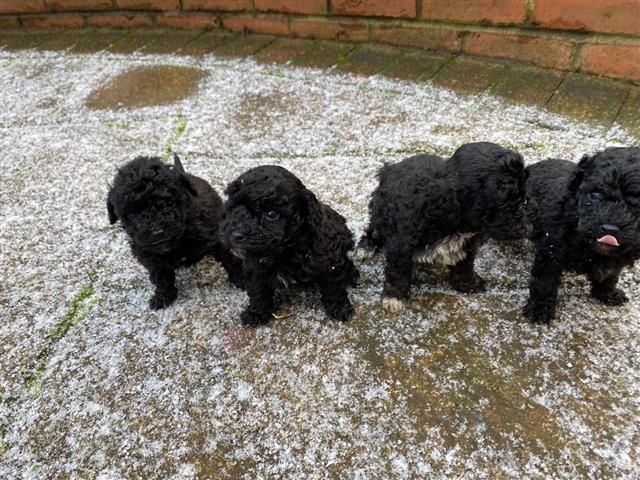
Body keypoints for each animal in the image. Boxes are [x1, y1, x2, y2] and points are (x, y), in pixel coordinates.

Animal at [107, 156, 242, 310]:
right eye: (133, 214)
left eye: (168, 203)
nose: (157, 232)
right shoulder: (148, 253)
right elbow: (161, 276)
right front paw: (163, 296)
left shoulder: (214, 237)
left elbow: (229, 259)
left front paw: (241, 279)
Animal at [220, 165, 360, 326]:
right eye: (235, 207)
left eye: (272, 214)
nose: (236, 234)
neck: (286, 250)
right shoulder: (255, 266)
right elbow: (258, 289)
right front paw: (256, 312)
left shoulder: (327, 259)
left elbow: (334, 287)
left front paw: (340, 308)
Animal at [358, 141, 528, 314]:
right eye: (502, 201)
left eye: (522, 196)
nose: (525, 225)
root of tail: (389, 168)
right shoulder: (401, 243)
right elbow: (398, 271)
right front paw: (394, 297)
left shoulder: (467, 242)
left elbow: (464, 265)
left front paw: (468, 284)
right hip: (380, 212)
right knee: (374, 230)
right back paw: (366, 247)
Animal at [524, 148, 640, 324]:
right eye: (595, 194)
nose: (610, 229)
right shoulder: (551, 250)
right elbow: (545, 281)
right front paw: (539, 309)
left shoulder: (617, 257)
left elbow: (610, 275)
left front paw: (607, 294)